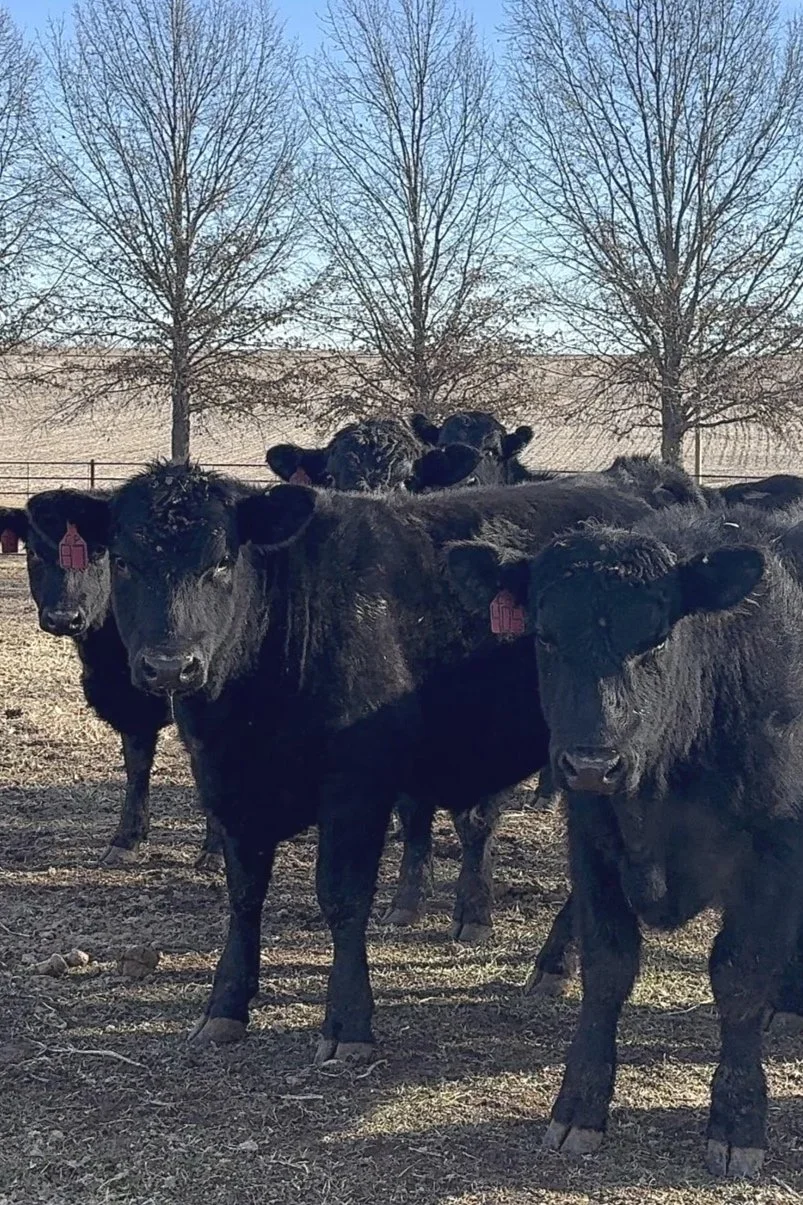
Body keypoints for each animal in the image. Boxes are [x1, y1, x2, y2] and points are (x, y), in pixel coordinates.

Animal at [0, 493, 222, 870]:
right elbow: (137, 766)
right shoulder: (129, 705)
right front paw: (126, 840)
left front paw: (216, 849)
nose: (63, 618)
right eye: (33, 552)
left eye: (101, 552)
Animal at [67, 463, 654, 1060]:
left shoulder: (356, 786)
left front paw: (348, 1023)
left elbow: (343, 897)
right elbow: (244, 894)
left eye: (223, 561)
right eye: (122, 560)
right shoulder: (227, 782)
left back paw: (555, 964)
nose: (169, 666)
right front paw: (224, 1007)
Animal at [447, 504, 803, 1177]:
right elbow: (608, 968)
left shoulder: (774, 851)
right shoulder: (592, 838)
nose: (591, 762)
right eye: (545, 636)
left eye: (656, 639)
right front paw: (578, 1107)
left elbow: (740, 974)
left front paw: (738, 1122)